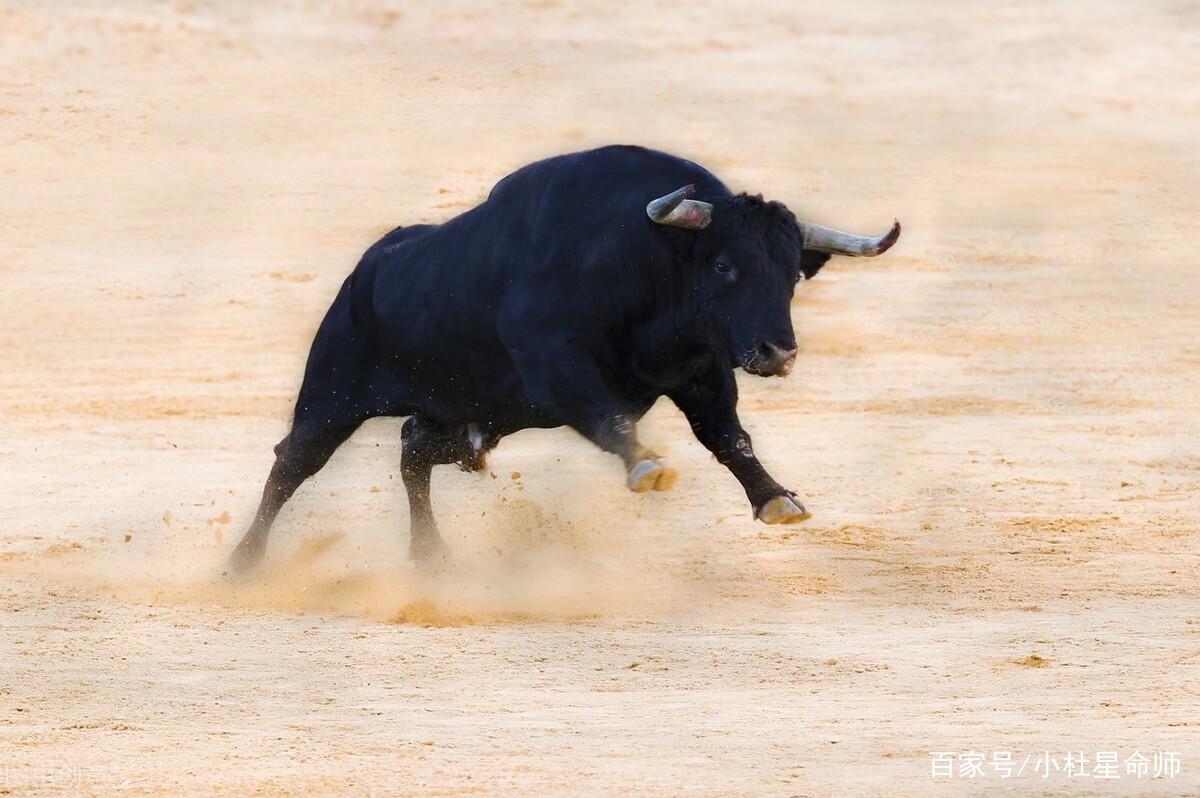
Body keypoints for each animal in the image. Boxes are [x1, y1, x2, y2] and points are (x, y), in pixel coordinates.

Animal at [229, 141, 897, 566]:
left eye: (792, 276)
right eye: (724, 265)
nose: (776, 352)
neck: (640, 261)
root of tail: (365, 270)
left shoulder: (702, 371)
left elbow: (730, 438)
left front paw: (778, 499)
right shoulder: (559, 369)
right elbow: (611, 417)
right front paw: (648, 466)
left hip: (472, 418)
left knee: (414, 450)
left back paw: (432, 555)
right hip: (331, 396)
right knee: (293, 463)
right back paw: (244, 561)